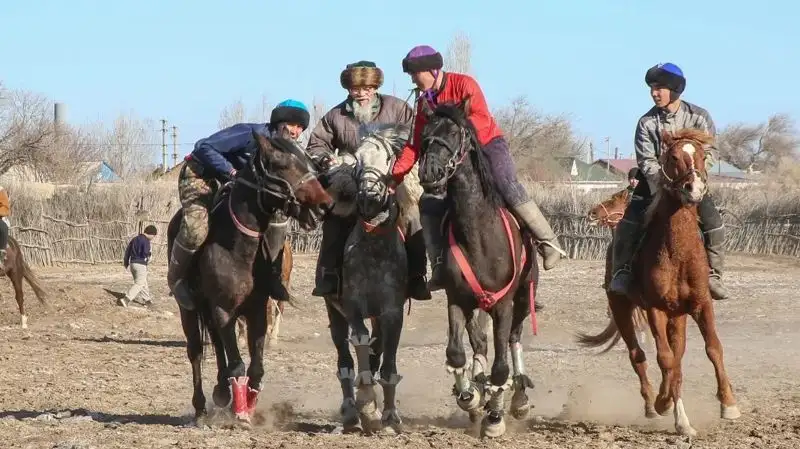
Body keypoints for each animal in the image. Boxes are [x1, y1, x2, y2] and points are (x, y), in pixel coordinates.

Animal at [166, 132, 332, 424]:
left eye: (309, 162)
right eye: (282, 165)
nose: (324, 204)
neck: (239, 248)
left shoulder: (255, 310)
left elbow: (256, 366)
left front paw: (250, 402)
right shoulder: (223, 309)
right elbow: (237, 363)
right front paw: (240, 412)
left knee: (217, 345)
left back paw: (222, 391)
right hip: (190, 309)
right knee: (195, 350)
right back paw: (201, 407)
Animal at [416, 99, 540, 438]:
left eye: (454, 133)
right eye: (425, 134)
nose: (429, 171)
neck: (479, 236)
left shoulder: (504, 305)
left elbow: (501, 368)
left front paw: (495, 418)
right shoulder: (457, 300)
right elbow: (456, 353)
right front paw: (470, 397)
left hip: (521, 300)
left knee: (513, 340)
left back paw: (519, 399)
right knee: (479, 343)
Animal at [580, 129, 740, 434]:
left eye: (701, 155)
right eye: (673, 157)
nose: (694, 188)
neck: (678, 252)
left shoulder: (701, 304)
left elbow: (712, 349)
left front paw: (729, 404)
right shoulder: (655, 308)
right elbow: (664, 359)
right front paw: (665, 404)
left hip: (678, 316)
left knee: (675, 358)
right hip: (622, 309)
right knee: (639, 355)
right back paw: (655, 405)